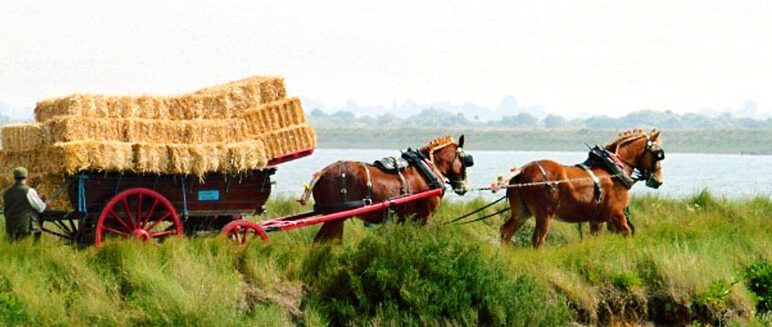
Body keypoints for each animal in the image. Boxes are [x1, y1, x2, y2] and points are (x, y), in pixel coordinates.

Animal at [300, 135, 470, 242]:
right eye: (467, 160)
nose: (465, 186)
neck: (426, 168)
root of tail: (322, 173)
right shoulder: (424, 217)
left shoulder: (404, 218)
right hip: (335, 219)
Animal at [500, 129, 664, 247]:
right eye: (658, 155)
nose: (659, 180)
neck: (613, 168)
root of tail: (523, 170)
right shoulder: (617, 214)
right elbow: (628, 233)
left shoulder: (596, 220)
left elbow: (596, 239)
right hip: (544, 215)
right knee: (538, 241)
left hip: (522, 212)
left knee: (506, 232)